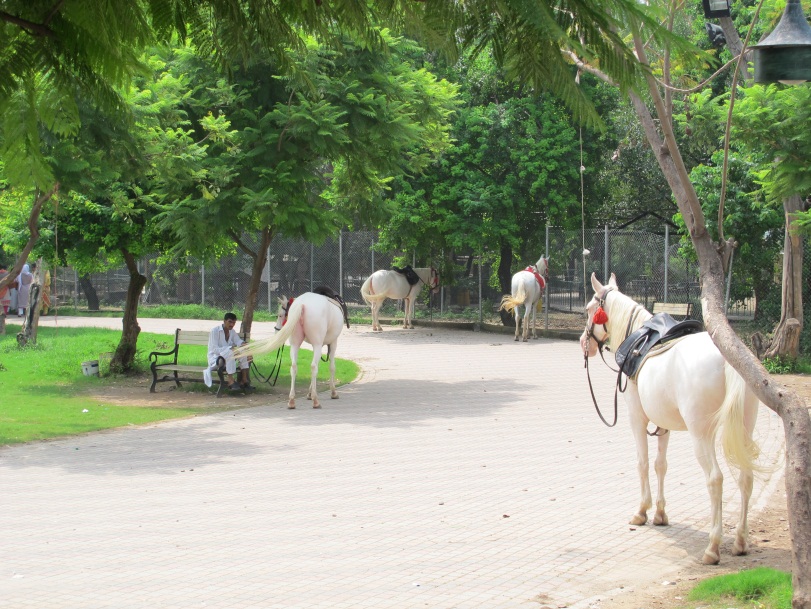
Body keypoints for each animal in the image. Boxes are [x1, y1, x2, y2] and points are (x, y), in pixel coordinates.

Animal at [580, 274, 764, 564]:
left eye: (589, 309)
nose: (583, 344)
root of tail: (728, 360)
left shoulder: (637, 419)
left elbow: (643, 463)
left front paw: (642, 512)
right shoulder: (663, 425)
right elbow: (660, 465)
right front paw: (660, 514)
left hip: (702, 434)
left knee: (715, 479)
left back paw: (713, 547)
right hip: (745, 429)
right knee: (746, 477)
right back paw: (740, 541)